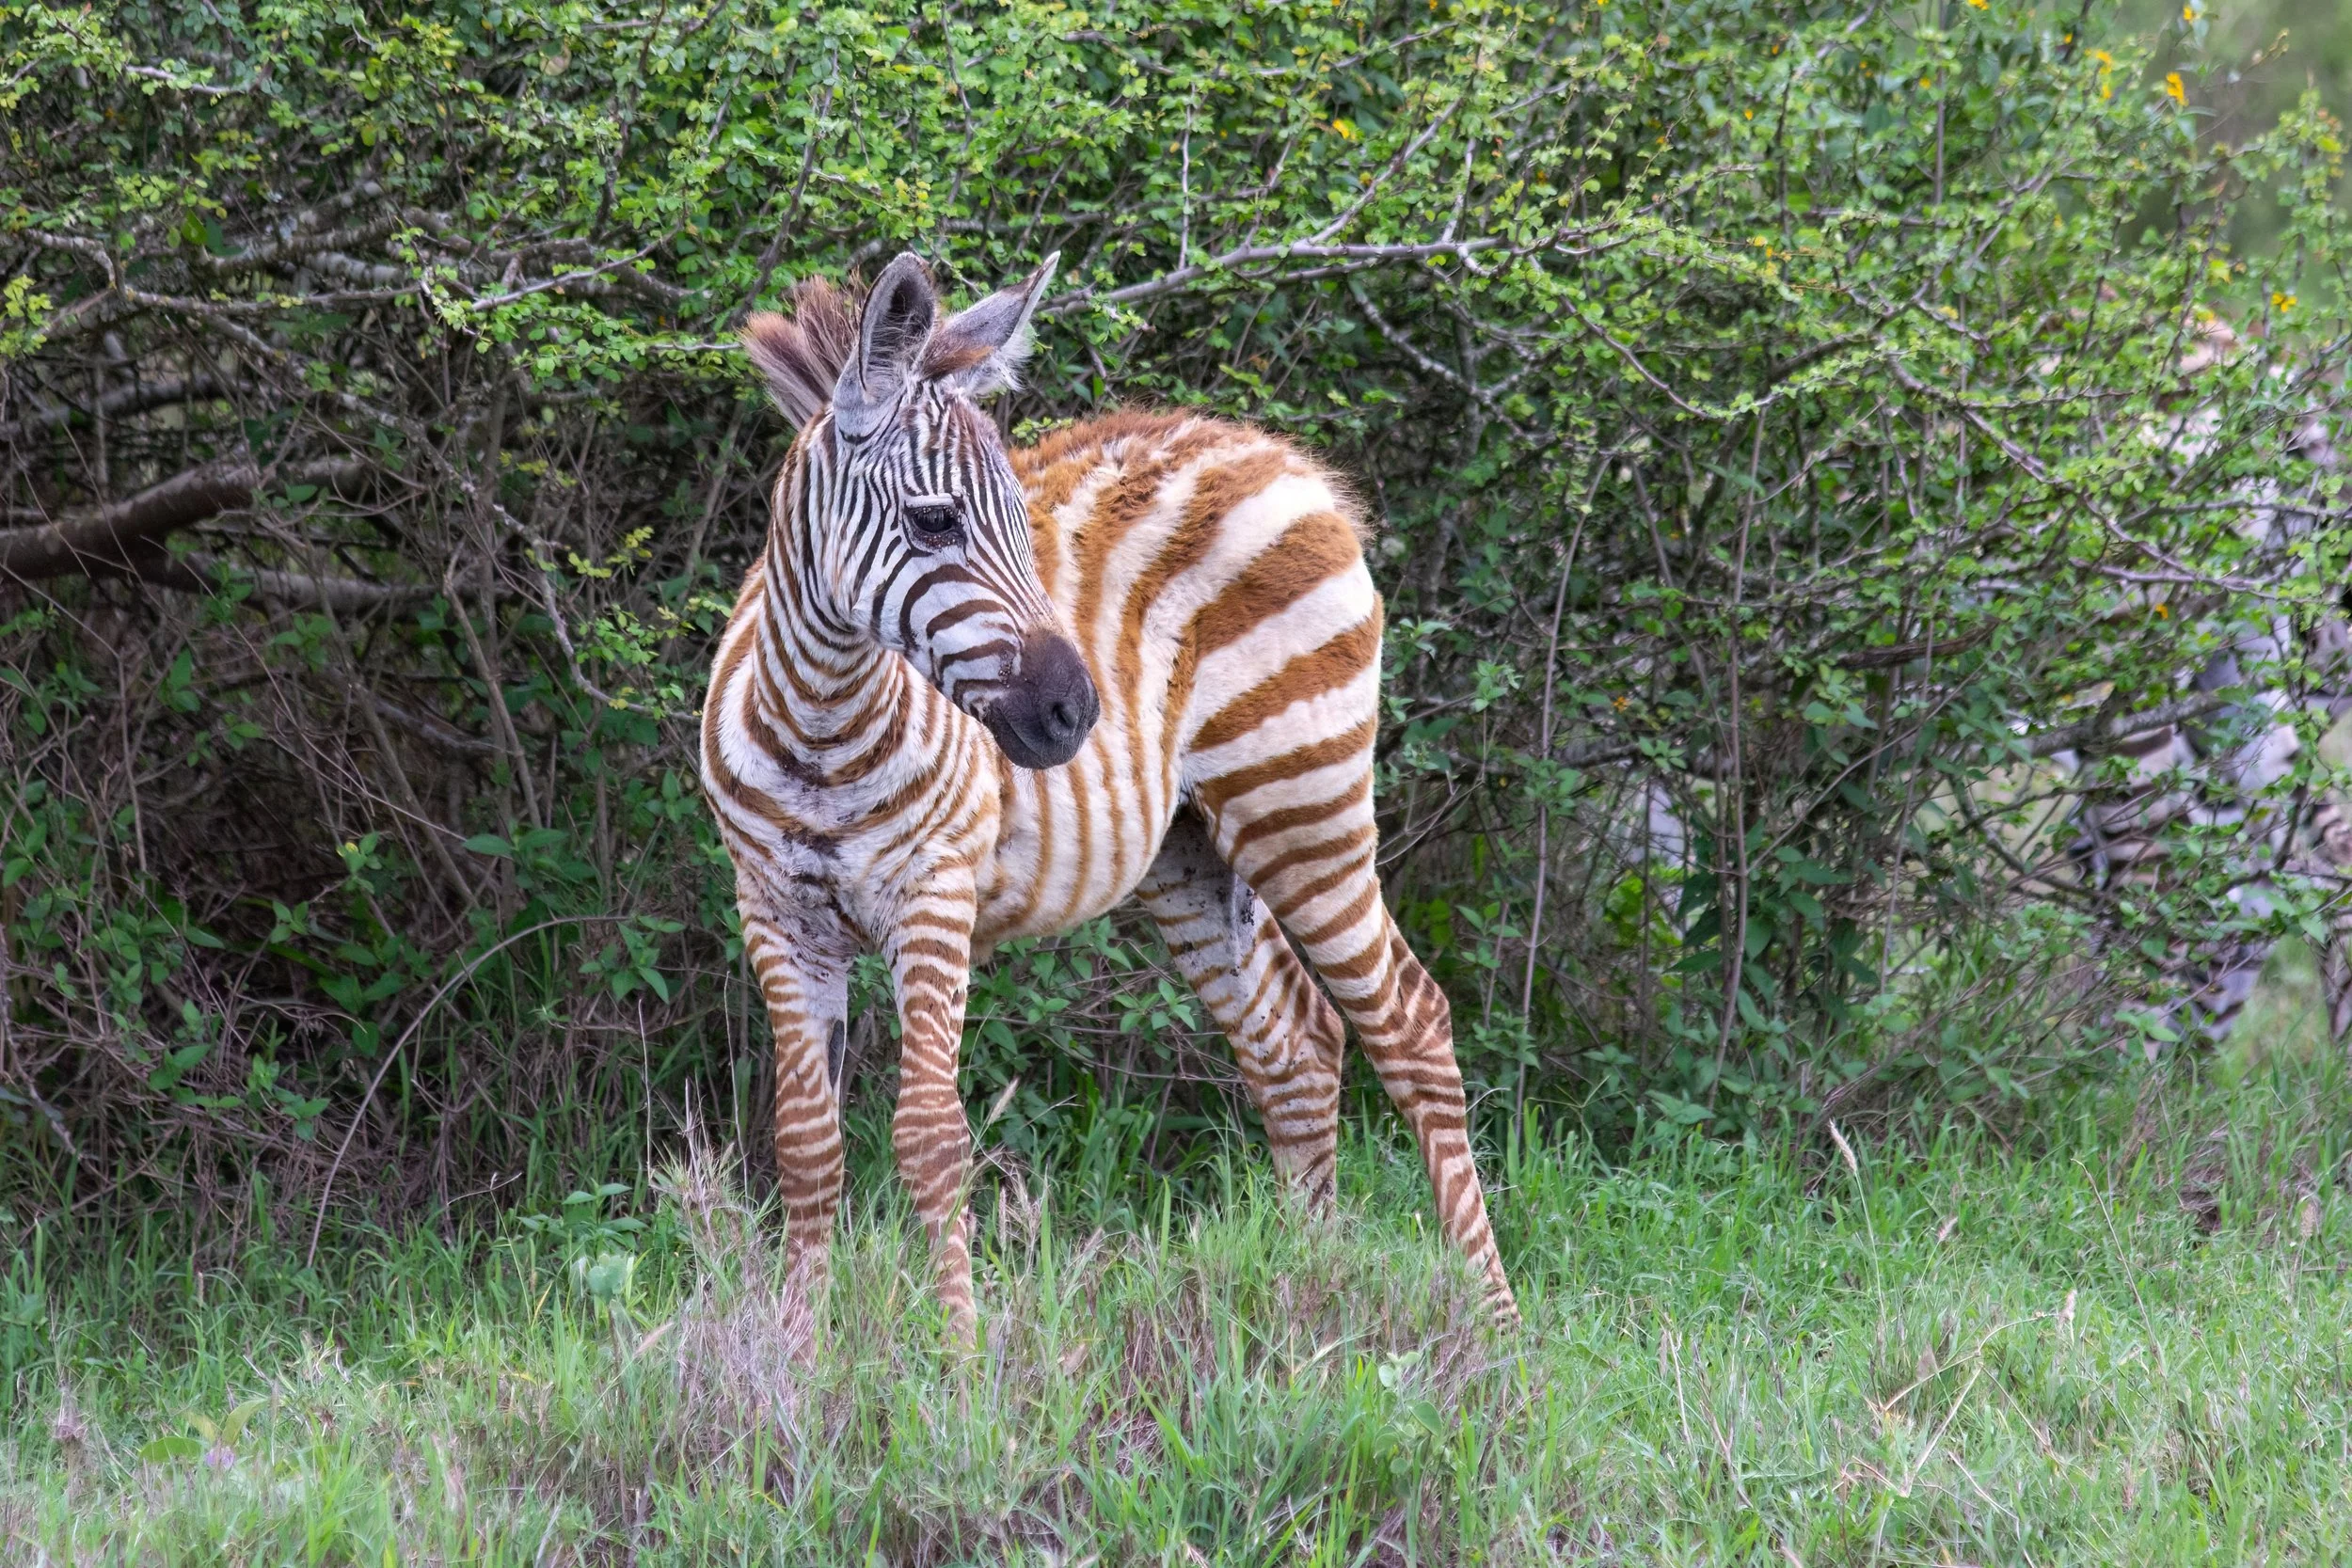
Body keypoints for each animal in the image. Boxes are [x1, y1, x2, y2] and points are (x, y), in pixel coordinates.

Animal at [700, 252, 1518, 1347]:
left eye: (1020, 518)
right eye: (934, 519)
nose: (1075, 711)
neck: (819, 729)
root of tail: (1280, 457)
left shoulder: (934, 896)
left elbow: (929, 1135)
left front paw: (958, 1360)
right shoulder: (776, 914)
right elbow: (804, 1140)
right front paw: (795, 1350)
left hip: (1304, 802)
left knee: (1414, 1027)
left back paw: (1498, 1325)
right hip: (1190, 852)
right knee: (1298, 1045)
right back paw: (1310, 1293)